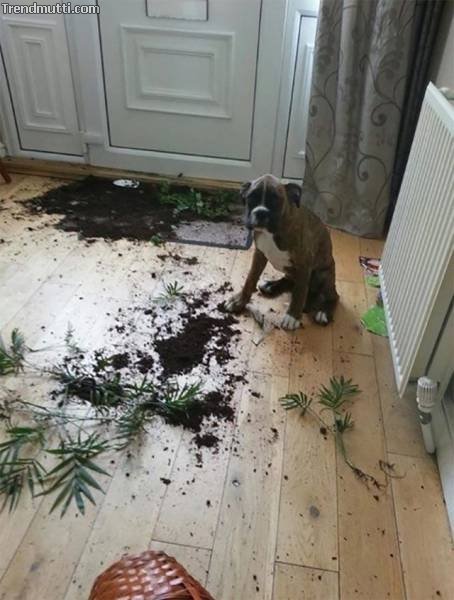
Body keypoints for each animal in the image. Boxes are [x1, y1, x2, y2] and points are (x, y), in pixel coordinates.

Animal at [225, 174, 338, 330]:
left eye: (275, 200)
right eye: (251, 198)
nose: (261, 212)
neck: (272, 232)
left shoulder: (304, 264)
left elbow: (299, 292)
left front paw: (292, 316)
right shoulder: (259, 255)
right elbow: (250, 278)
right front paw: (239, 301)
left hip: (323, 275)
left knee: (332, 295)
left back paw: (323, 311)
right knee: (290, 281)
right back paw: (271, 286)